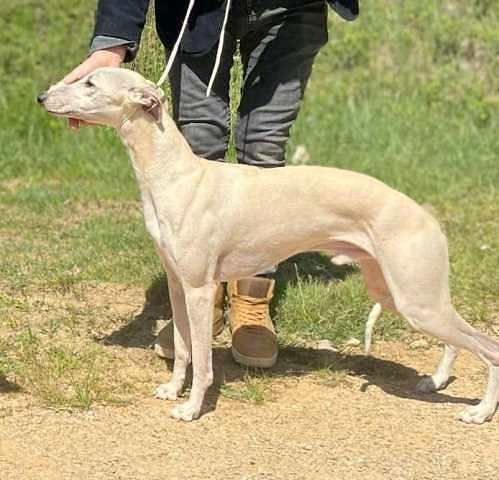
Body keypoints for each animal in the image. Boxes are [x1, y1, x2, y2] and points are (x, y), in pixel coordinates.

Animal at [39, 67, 499, 424]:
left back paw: (479, 411)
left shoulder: (200, 289)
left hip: (417, 298)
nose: (42, 97)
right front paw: (172, 389)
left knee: (487, 346)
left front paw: (191, 409)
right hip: (399, 292)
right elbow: (184, 349)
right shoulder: (177, 284)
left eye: (91, 83)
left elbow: (203, 360)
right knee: (455, 342)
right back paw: (434, 381)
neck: (177, 175)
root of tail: (427, 216)